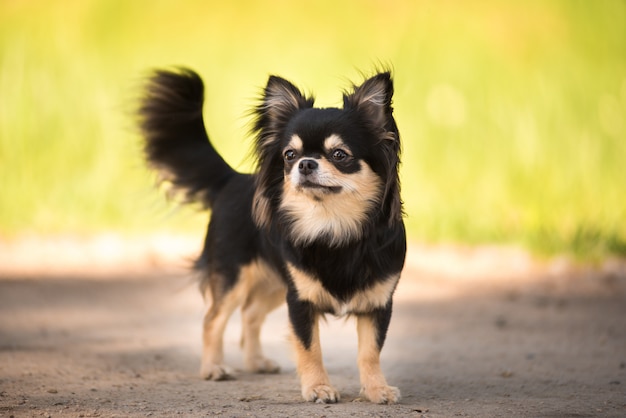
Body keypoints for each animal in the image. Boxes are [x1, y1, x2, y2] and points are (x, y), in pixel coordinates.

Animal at [136, 67, 404, 404]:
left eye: (339, 155)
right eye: (289, 155)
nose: (305, 163)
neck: (332, 226)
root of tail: (232, 179)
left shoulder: (377, 304)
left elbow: (370, 352)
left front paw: (376, 389)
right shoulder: (300, 300)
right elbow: (309, 348)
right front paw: (318, 387)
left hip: (276, 283)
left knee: (250, 313)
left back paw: (255, 362)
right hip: (236, 278)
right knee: (213, 319)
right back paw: (213, 368)